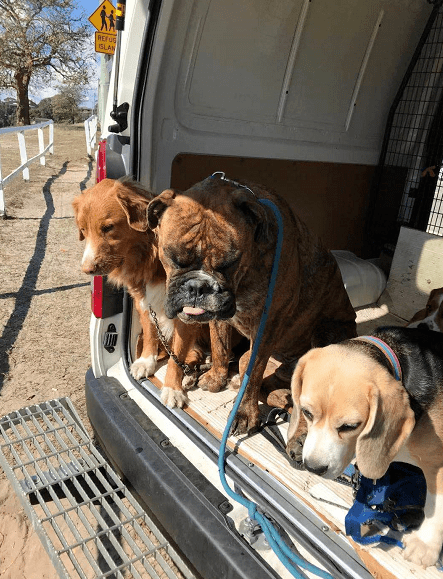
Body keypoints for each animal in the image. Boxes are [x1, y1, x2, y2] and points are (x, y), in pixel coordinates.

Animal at [72, 177, 229, 408]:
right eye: (83, 229)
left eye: (108, 227)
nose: (87, 270)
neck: (149, 257)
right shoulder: (143, 301)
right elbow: (150, 335)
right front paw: (147, 361)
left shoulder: (186, 312)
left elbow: (176, 355)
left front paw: (172, 388)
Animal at [147, 173, 356, 436]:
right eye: (173, 257)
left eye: (229, 263)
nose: (198, 287)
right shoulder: (219, 318)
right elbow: (219, 347)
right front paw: (216, 378)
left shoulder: (266, 327)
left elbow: (253, 373)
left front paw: (244, 413)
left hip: (326, 331)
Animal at [286, 328, 443, 568]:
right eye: (306, 412)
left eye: (350, 426)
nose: (313, 467)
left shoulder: (438, 463)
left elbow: (436, 506)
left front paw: (425, 544)